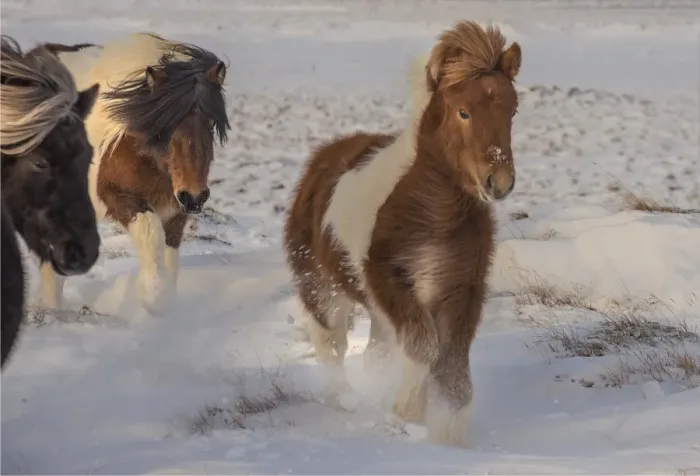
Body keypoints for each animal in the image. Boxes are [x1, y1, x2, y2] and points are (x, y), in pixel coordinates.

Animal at [32, 32, 231, 314]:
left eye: (212, 123)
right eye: (166, 125)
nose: (194, 196)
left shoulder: (175, 211)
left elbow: (170, 253)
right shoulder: (117, 197)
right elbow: (150, 232)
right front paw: (154, 294)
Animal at [283, 21, 521, 447]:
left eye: (512, 109)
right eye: (463, 111)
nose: (499, 182)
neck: (433, 213)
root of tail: (325, 156)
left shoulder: (462, 289)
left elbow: (452, 369)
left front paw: (447, 437)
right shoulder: (388, 280)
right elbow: (425, 349)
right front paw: (406, 414)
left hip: (377, 310)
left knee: (374, 353)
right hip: (323, 287)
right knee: (330, 343)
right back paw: (343, 400)